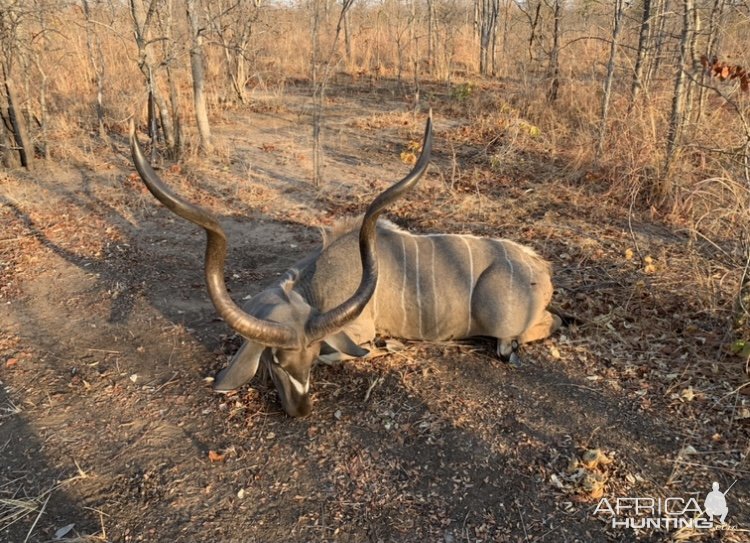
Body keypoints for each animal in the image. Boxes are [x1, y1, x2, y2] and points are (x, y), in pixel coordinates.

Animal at [132, 118, 560, 416]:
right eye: (274, 360)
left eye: (306, 359)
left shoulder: (358, 331)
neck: (318, 281)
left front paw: (382, 348)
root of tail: (542, 270)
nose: (300, 411)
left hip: (501, 320)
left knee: (534, 330)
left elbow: (352, 351)